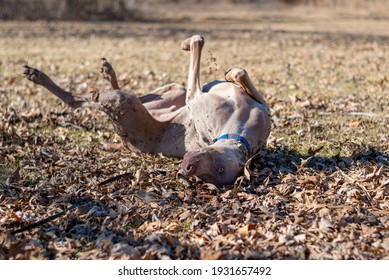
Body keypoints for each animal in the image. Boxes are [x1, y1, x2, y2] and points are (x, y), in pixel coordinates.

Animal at [22, 35, 270, 185]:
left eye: (218, 172)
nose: (185, 171)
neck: (238, 133)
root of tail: (125, 143)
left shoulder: (194, 96)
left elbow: (199, 46)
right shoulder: (259, 106)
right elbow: (240, 75)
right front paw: (230, 73)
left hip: (123, 103)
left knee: (78, 99)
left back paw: (39, 76)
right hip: (171, 92)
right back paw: (108, 72)